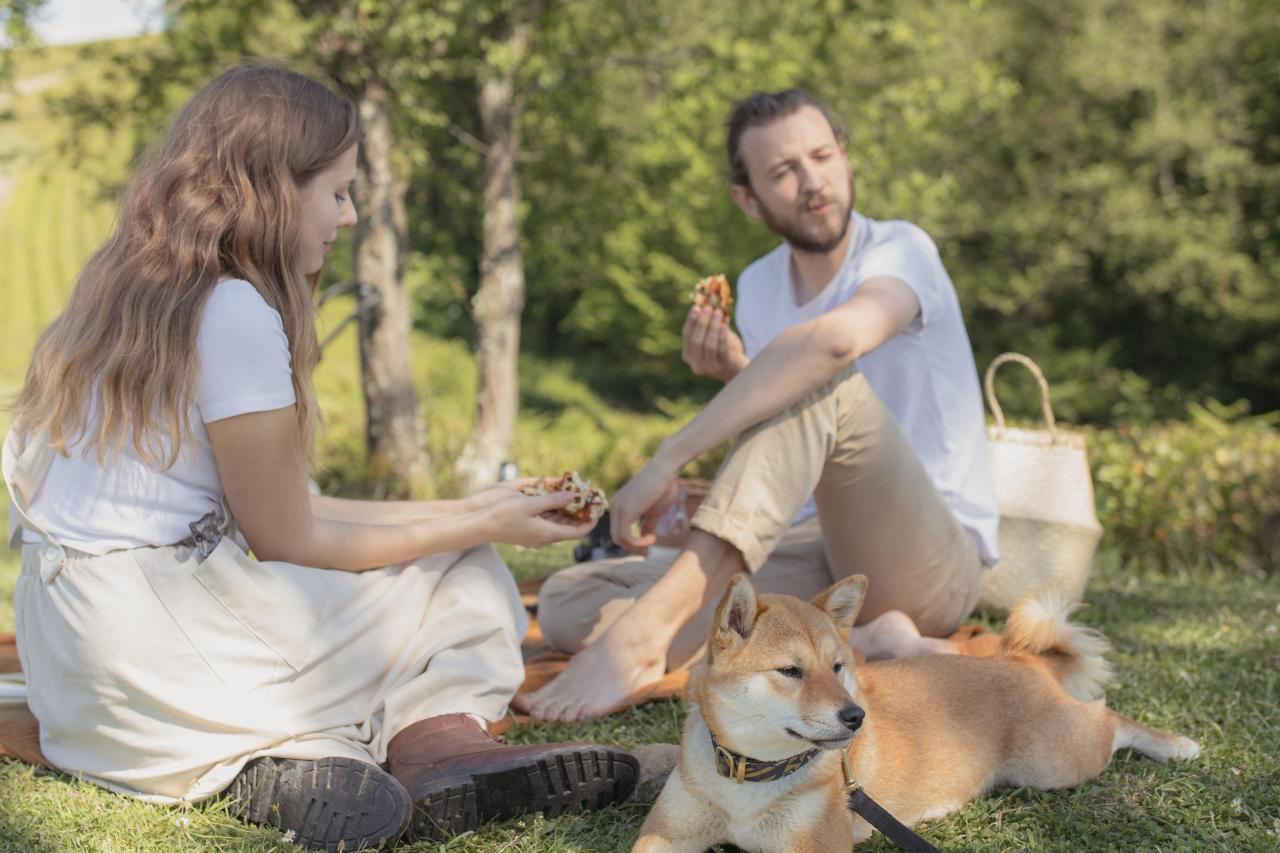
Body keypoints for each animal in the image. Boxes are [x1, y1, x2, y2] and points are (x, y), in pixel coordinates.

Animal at [634, 571, 1203, 850]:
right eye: (791, 671)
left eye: (837, 666)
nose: (855, 717)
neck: (749, 775)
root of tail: (1015, 659)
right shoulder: (665, 834)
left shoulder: (815, 848)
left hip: (1056, 764)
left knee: (1109, 717)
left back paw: (1176, 745)